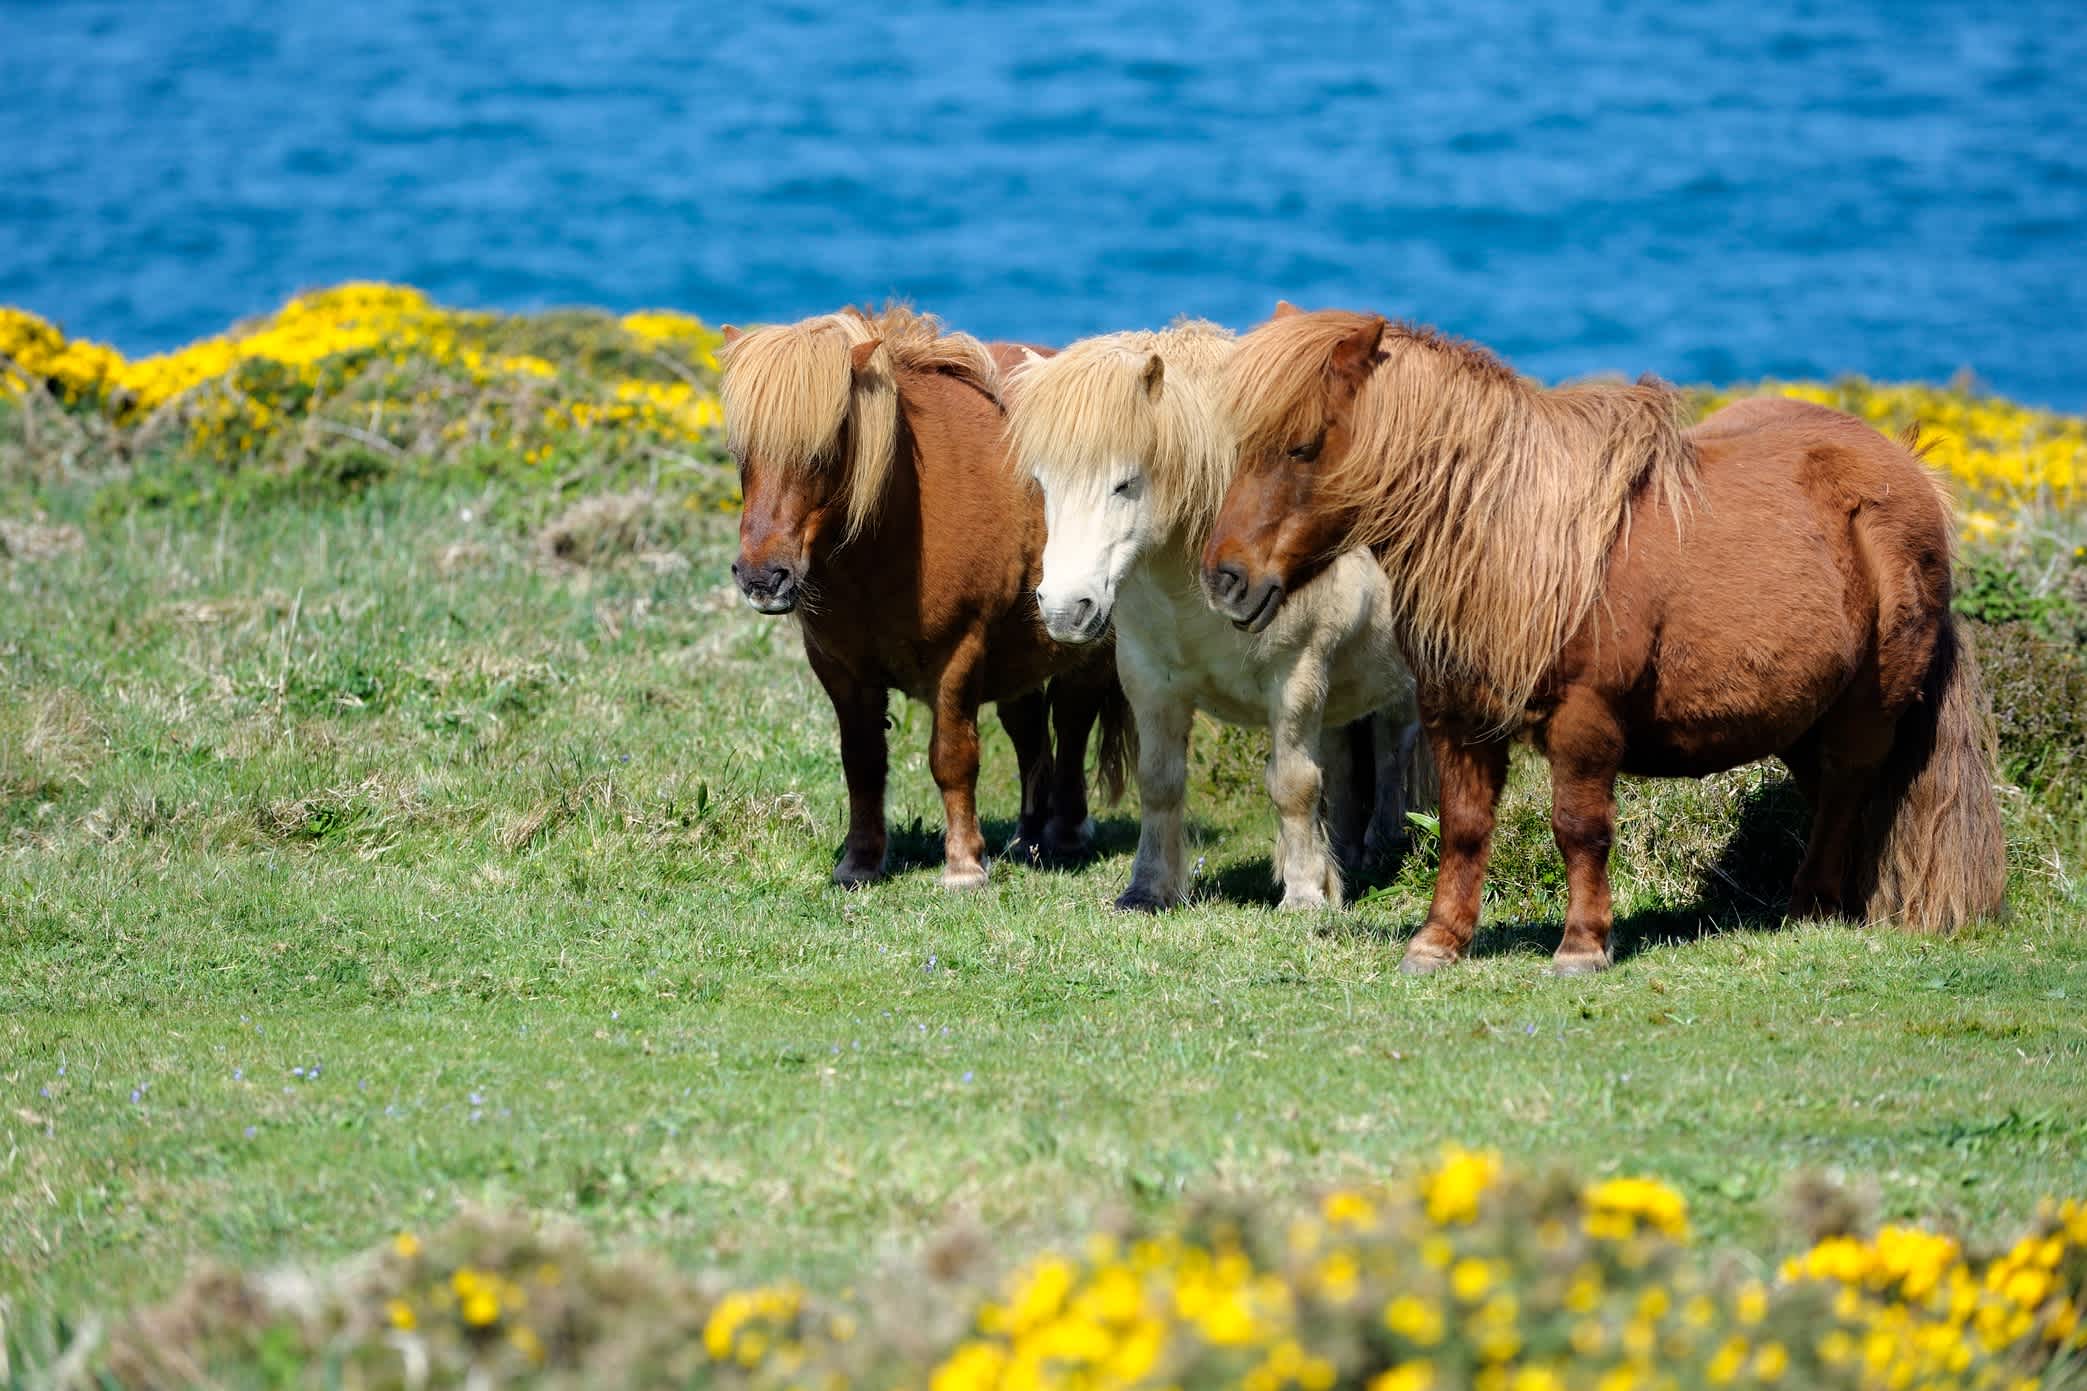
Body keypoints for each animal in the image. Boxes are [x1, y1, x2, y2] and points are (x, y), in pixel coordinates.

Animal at [717, 306, 1126, 892]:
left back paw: (1065, 835)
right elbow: (862, 762)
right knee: (1029, 734)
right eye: (739, 453)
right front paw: (860, 861)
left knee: (1072, 723)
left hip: (1091, 648)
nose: (761, 577)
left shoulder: (959, 654)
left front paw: (964, 865)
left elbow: (953, 758)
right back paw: (1027, 839)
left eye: (823, 449)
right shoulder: (839, 668)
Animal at [1001, 325, 1427, 913]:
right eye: (1043, 484)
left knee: (1394, 744)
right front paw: (1148, 889)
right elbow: (1159, 783)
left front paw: (1303, 896)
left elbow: (1293, 785)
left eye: (1125, 484)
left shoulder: (1295, 679)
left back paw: (1383, 845)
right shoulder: (1150, 681)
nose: (1066, 609)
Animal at [1210, 306, 2003, 975]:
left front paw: (1581, 946)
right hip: (1804, 719)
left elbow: (1579, 827)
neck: (1517, 541)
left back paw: (1809, 909)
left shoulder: (1584, 720)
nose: (1225, 580)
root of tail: (1912, 471)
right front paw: (1438, 943)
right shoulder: (1456, 717)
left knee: (1844, 793)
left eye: (1302, 446)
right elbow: (1463, 826)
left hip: (1865, 713)